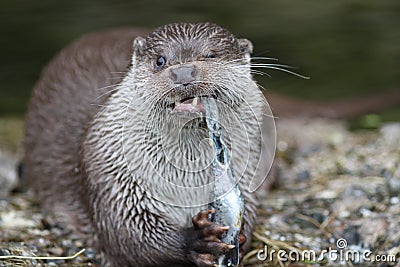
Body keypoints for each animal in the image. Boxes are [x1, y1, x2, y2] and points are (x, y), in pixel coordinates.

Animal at [24, 23, 276, 267]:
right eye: (160, 60)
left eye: (211, 55)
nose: (183, 71)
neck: (185, 183)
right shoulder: (113, 180)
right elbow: (130, 233)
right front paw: (196, 239)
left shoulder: (247, 172)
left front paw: (238, 235)